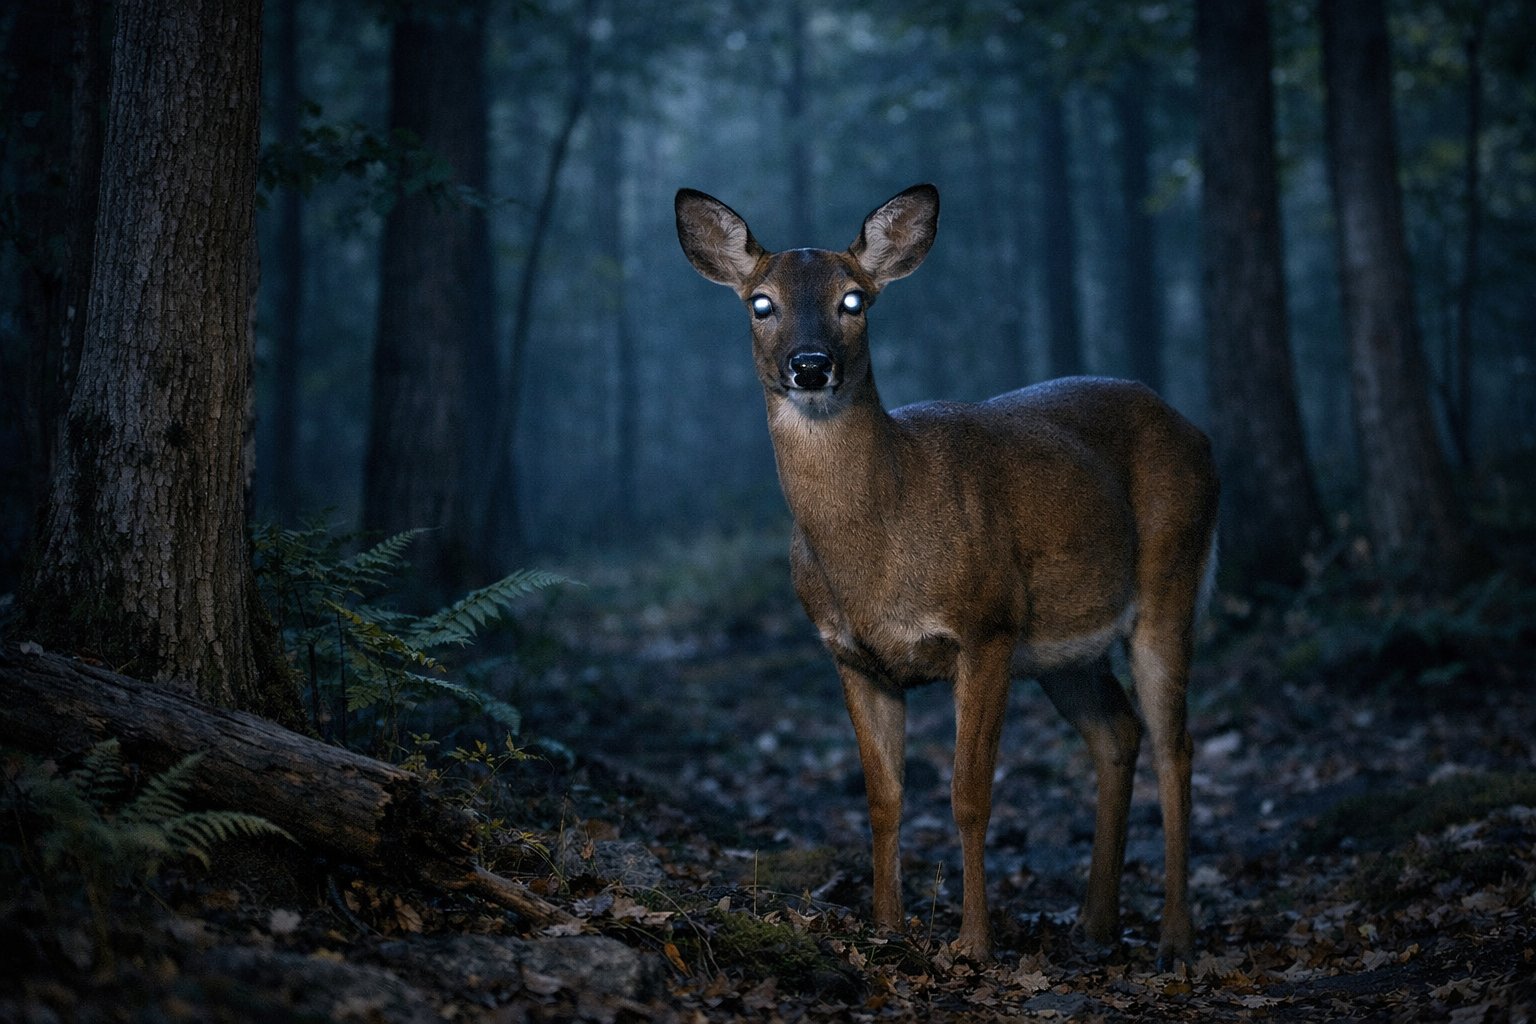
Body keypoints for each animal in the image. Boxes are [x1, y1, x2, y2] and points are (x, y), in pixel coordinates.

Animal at [674, 183, 1219, 964]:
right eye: (760, 302)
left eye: (853, 300)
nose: (810, 365)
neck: (879, 548)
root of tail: (1197, 433)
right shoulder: (852, 655)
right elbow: (883, 799)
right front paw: (886, 928)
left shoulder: (985, 624)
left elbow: (969, 795)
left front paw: (972, 943)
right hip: (1063, 647)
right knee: (1117, 732)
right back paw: (1094, 925)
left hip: (1170, 580)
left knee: (1176, 744)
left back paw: (1175, 936)